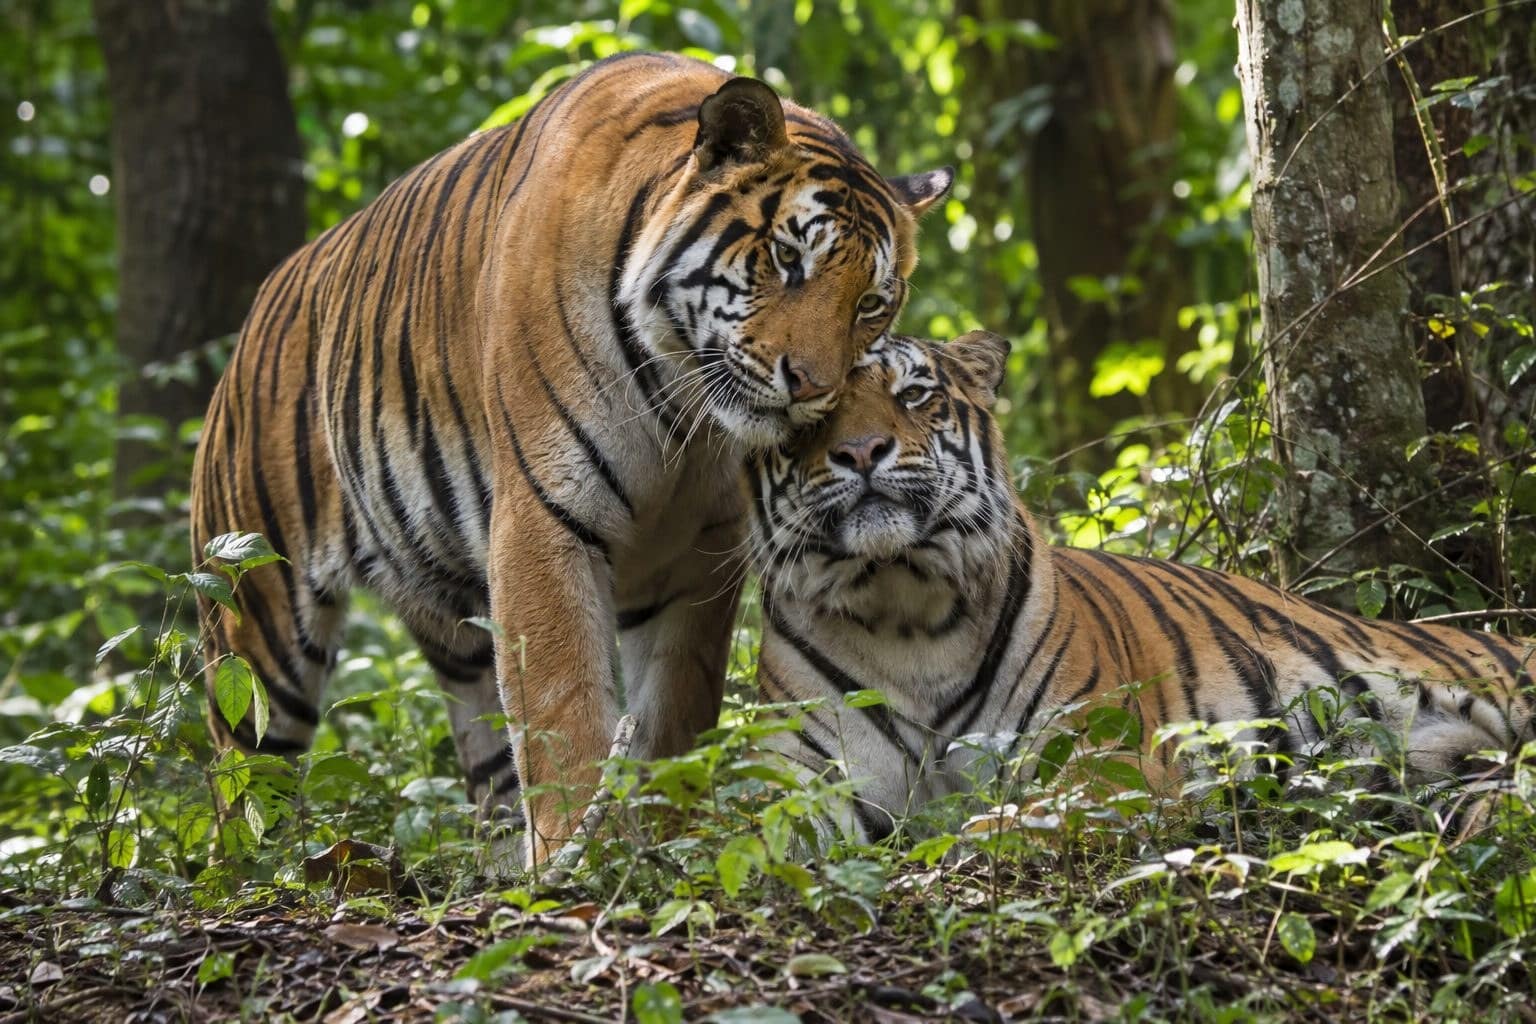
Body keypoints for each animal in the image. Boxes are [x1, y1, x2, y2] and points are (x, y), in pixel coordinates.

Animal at [190, 51, 953, 865]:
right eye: (787, 259)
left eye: (871, 303)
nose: (814, 388)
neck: (679, 404)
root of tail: (258, 311)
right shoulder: (544, 517)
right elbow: (562, 709)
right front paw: (582, 859)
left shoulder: (696, 555)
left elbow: (675, 710)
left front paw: (660, 841)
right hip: (257, 623)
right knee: (240, 777)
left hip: (451, 623)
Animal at [747, 330, 1536, 841]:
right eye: (812, 415)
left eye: (914, 394)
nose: (860, 451)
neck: (904, 606)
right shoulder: (802, 775)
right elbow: (759, 839)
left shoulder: (1100, 759)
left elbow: (1006, 825)